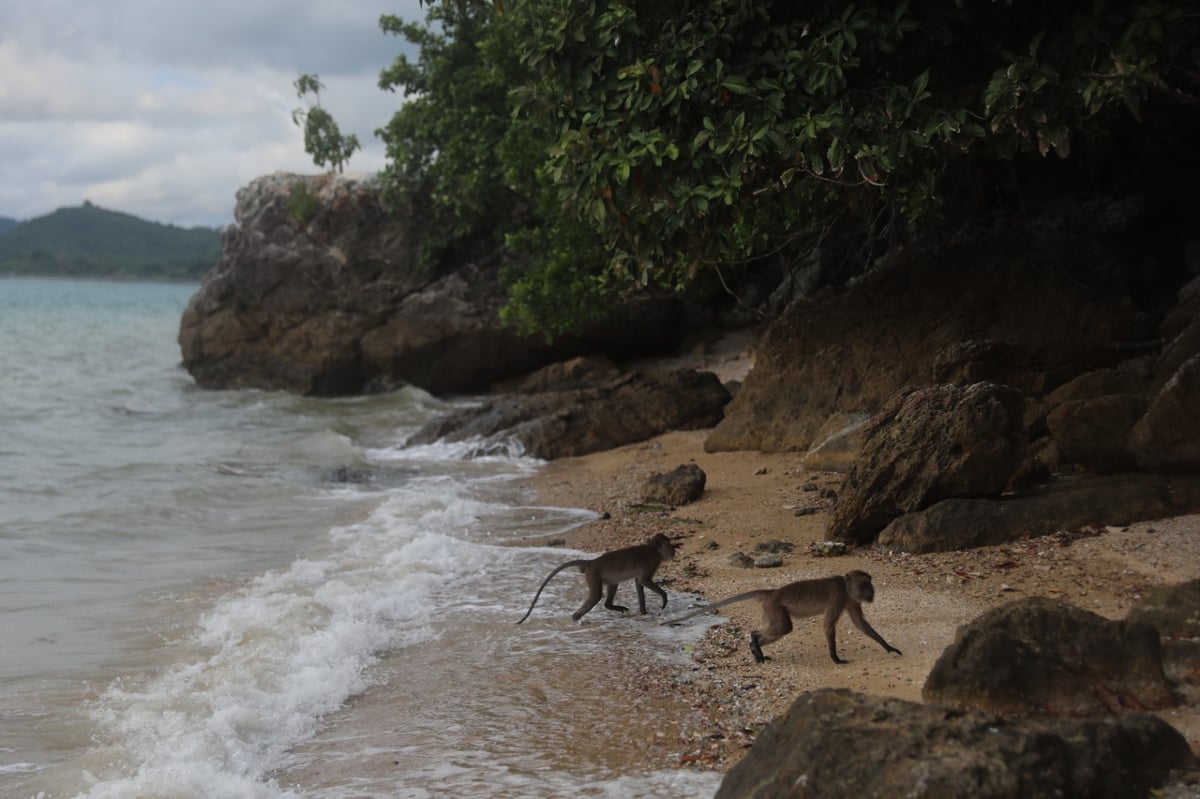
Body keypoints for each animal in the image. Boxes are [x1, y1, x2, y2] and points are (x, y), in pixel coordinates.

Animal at [518, 532, 681, 623]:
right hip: (593, 575)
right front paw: (664, 598)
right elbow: (643, 580)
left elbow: (638, 582)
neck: (654, 550)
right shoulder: (651, 562)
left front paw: (643, 612)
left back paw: (610, 606)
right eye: (670, 545)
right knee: (596, 596)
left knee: (612, 585)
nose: (674, 552)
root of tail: (592, 562)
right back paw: (576, 618)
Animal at [667, 568, 902, 662]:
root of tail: (772, 592)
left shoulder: (850, 599)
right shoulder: (838, 597)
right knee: (784, 627)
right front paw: (835, 658)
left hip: (771, 609)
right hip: (774, 608)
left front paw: (888, 646)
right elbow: (828, 626)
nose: (872, 592)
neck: (846, 587)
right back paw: (755, 642)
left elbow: (860, 623)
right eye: (865, 584)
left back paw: (755, 648)